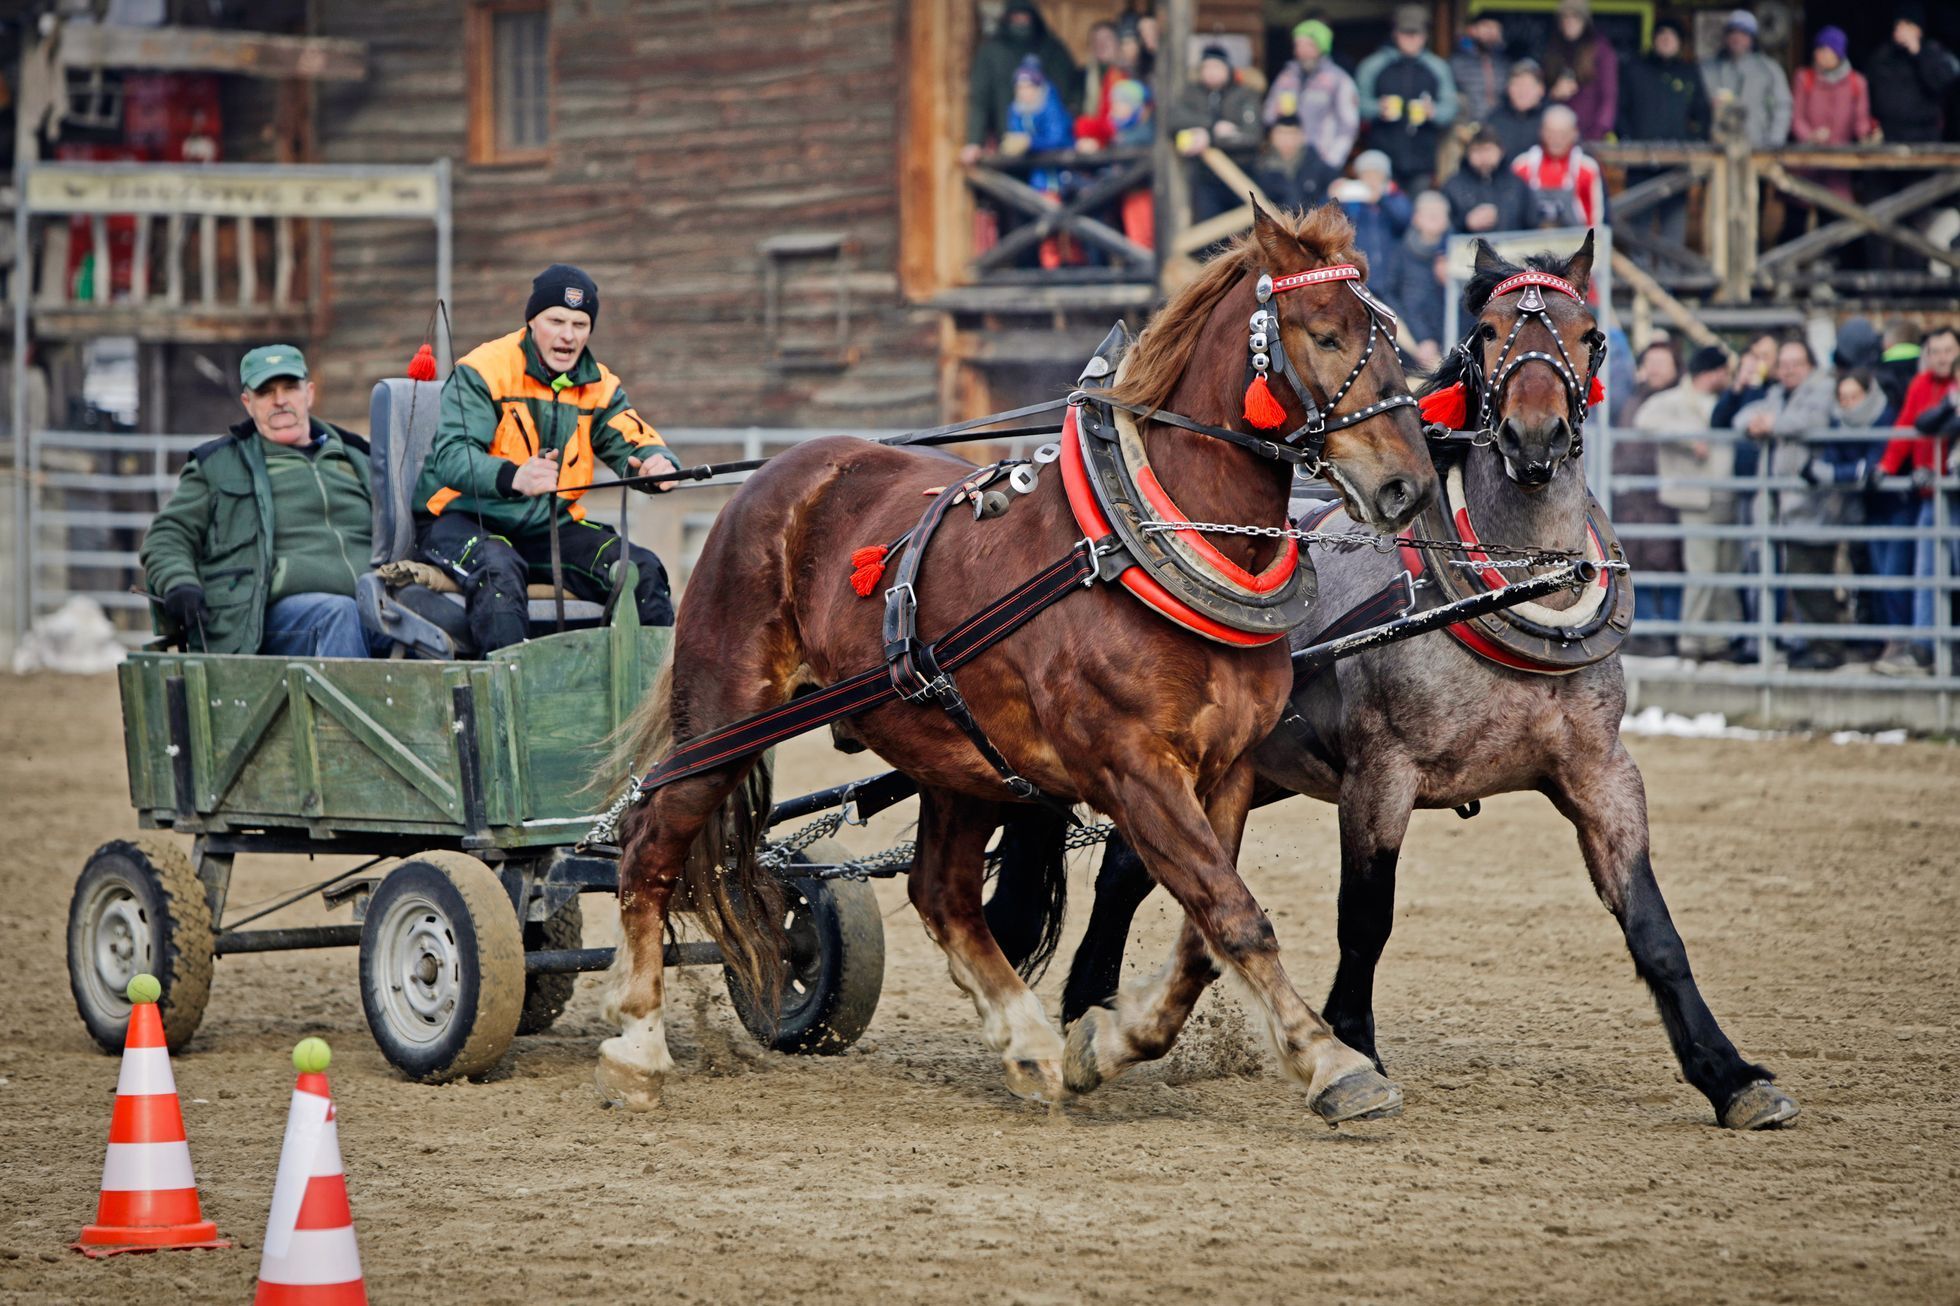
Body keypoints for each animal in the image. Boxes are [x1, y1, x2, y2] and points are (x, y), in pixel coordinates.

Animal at [595, 205, 1442, 1121]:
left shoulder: (1229, 770)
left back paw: (1029, 1043)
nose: (1409, 486)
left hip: (960, 758)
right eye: (1324, 334)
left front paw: (1104, 1042)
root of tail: (778, 477)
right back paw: (637, 1042)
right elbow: (1232, 912)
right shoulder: (1135, 770)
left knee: (941, 893)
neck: (1141, 543)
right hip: (727, 713)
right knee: (650, 843)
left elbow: (1205, 935)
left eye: (1390, 335)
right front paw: (1333, 1063)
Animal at [1003, 236, 1795, 1129]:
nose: (1533, 439)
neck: (1508, 587)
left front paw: (1728, 1073)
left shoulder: (1601, 773)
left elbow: (1653, 927)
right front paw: (1352, 1046)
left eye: (1590, 335)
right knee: (1132, 872)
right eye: (1486, 333)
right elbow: (1365, 919)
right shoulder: (1381, 775)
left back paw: (1089, 1008)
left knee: (1131, 871)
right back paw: (1086, 1009)